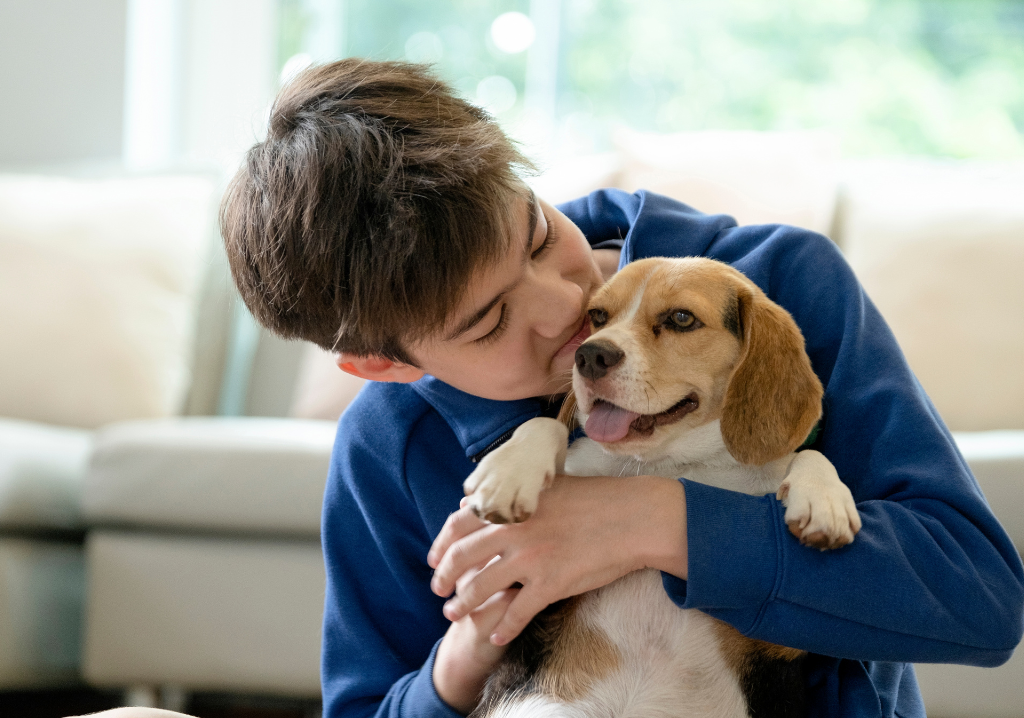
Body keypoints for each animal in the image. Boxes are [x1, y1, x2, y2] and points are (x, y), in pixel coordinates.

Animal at [460, 258, 860, 716]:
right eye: (597, 316)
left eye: (681, 318)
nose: (589, 355)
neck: (675, 463)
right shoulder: (523, 595)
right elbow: (546, 425)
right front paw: (508, 472)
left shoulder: (780, 642)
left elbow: (809, 456)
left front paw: (824, 501)